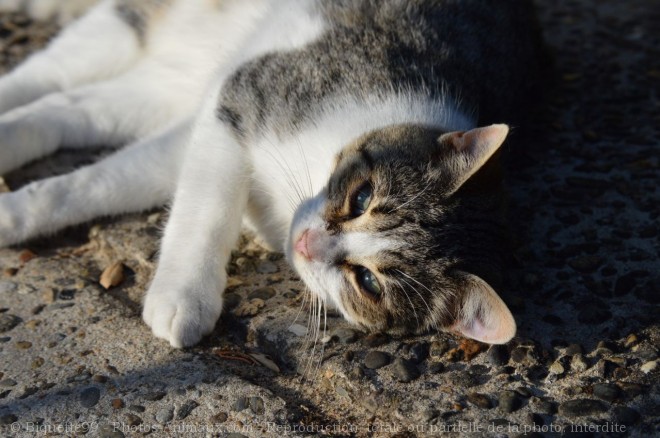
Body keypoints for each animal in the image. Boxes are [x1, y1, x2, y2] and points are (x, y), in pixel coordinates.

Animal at [0, 0, 548, 350]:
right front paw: (185, 295)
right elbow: (207, 208)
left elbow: (108, 180)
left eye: (368, 282)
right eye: (361, 197)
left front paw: (18, 214)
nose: (307, 243)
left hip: (163, 84)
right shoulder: (243, 97)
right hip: (132, 30)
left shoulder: (196, 126)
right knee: (49, 74)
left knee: (68, 108)